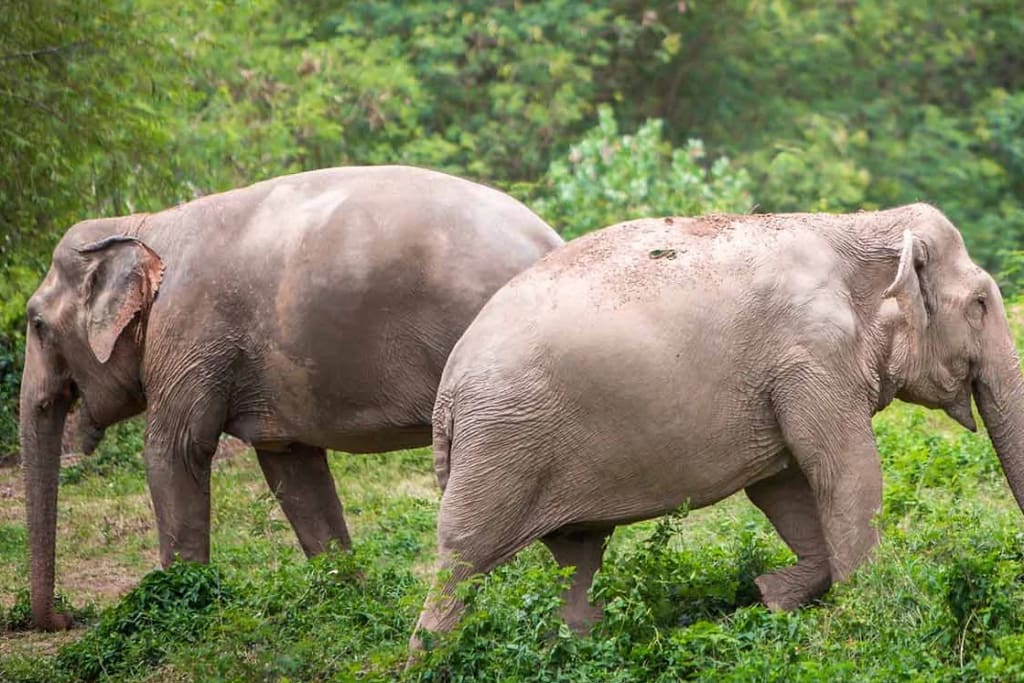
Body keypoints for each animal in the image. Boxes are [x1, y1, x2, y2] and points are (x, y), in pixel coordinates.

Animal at [18, 165, 561, 630]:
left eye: (37, 323)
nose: (66, 618)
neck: (142, 225)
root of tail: (552, 240)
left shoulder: (187, 339)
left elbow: (174, 452)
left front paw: (184, 610)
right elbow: (293, 470)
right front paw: (348, 600)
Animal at [411, 204, 1024, 647]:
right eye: (979, 304)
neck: (859, 225)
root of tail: (448, 390)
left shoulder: (787, 375)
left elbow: (782, 487)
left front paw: (770, 594)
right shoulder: (811, 357)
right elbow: (846, 475)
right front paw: (867, 617)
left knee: (577, 554)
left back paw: (583, 644)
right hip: (501, 440)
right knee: (464, 553)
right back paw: (434, 657)